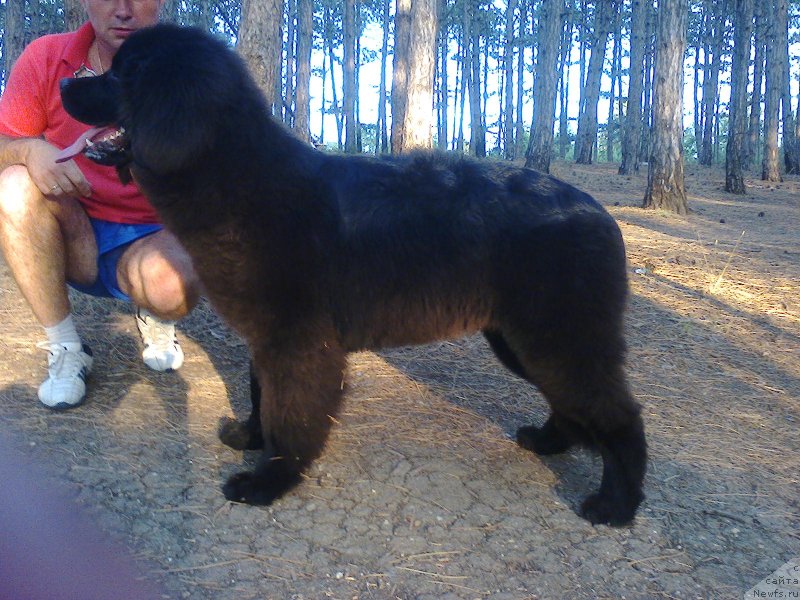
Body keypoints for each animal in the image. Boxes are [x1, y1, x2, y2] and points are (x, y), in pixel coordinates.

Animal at [61, 25, 648, 528]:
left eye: (119, 75)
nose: (65, 81)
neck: (237, 180)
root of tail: (601, 213)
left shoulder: (298, 342)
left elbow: (289, 413)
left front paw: (270, 480)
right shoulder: (268, 337)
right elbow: (259, 394)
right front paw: (250, 436)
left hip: (558, 336)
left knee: (620, 415)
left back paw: (616, 505)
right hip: (523, 339)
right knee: (572, 402)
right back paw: (548, 442)